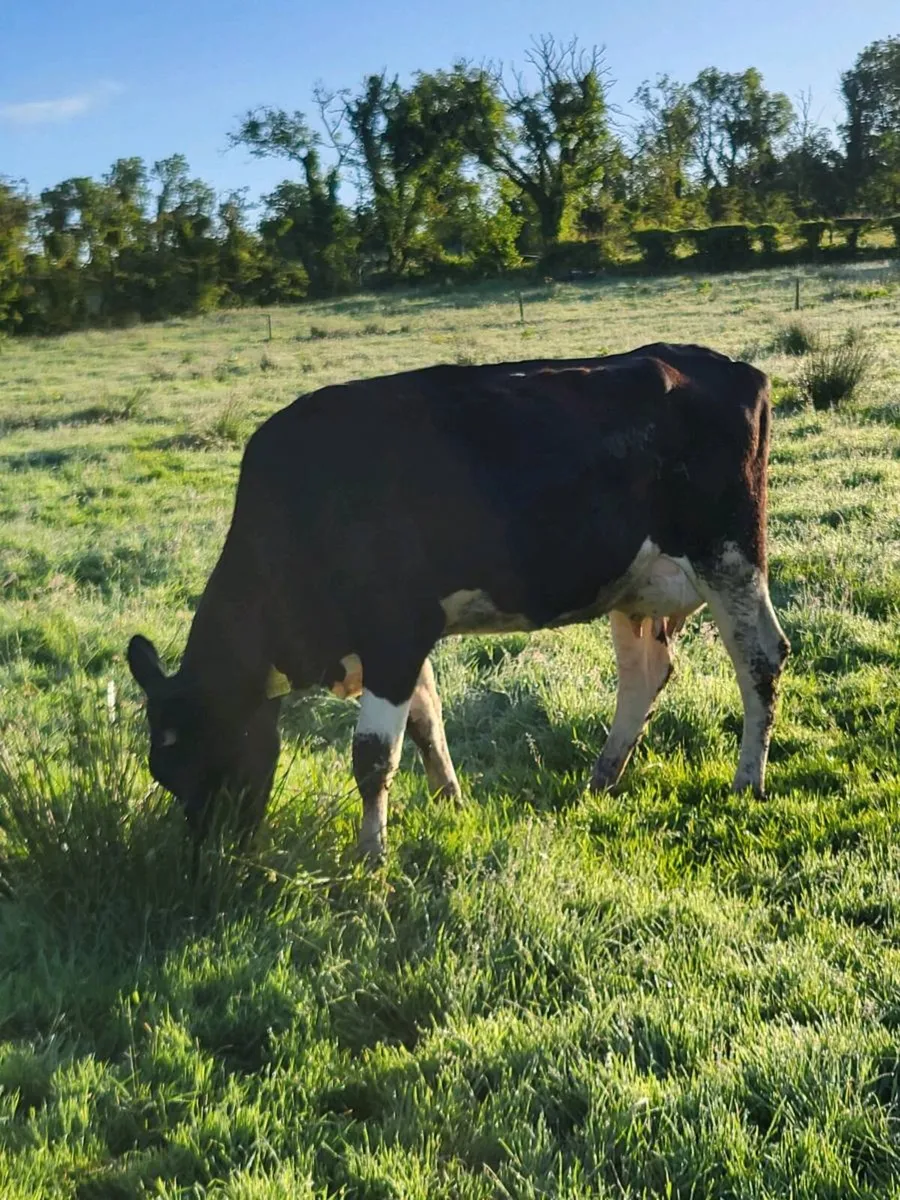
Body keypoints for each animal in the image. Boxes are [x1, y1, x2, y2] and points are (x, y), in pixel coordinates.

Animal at [127, 343, 789, 862]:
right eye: (164, 773)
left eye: (219, 752)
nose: (211, 858)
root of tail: (726, 365)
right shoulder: (401, 637)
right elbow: (427, 725)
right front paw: (450, 802)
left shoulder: (394, 632)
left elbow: (373, 756)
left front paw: (371, 856)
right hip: (635, 582)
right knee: (644, 675)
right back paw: (602, 778)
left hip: (729, 553)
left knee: (761, 657)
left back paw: (747, 781)